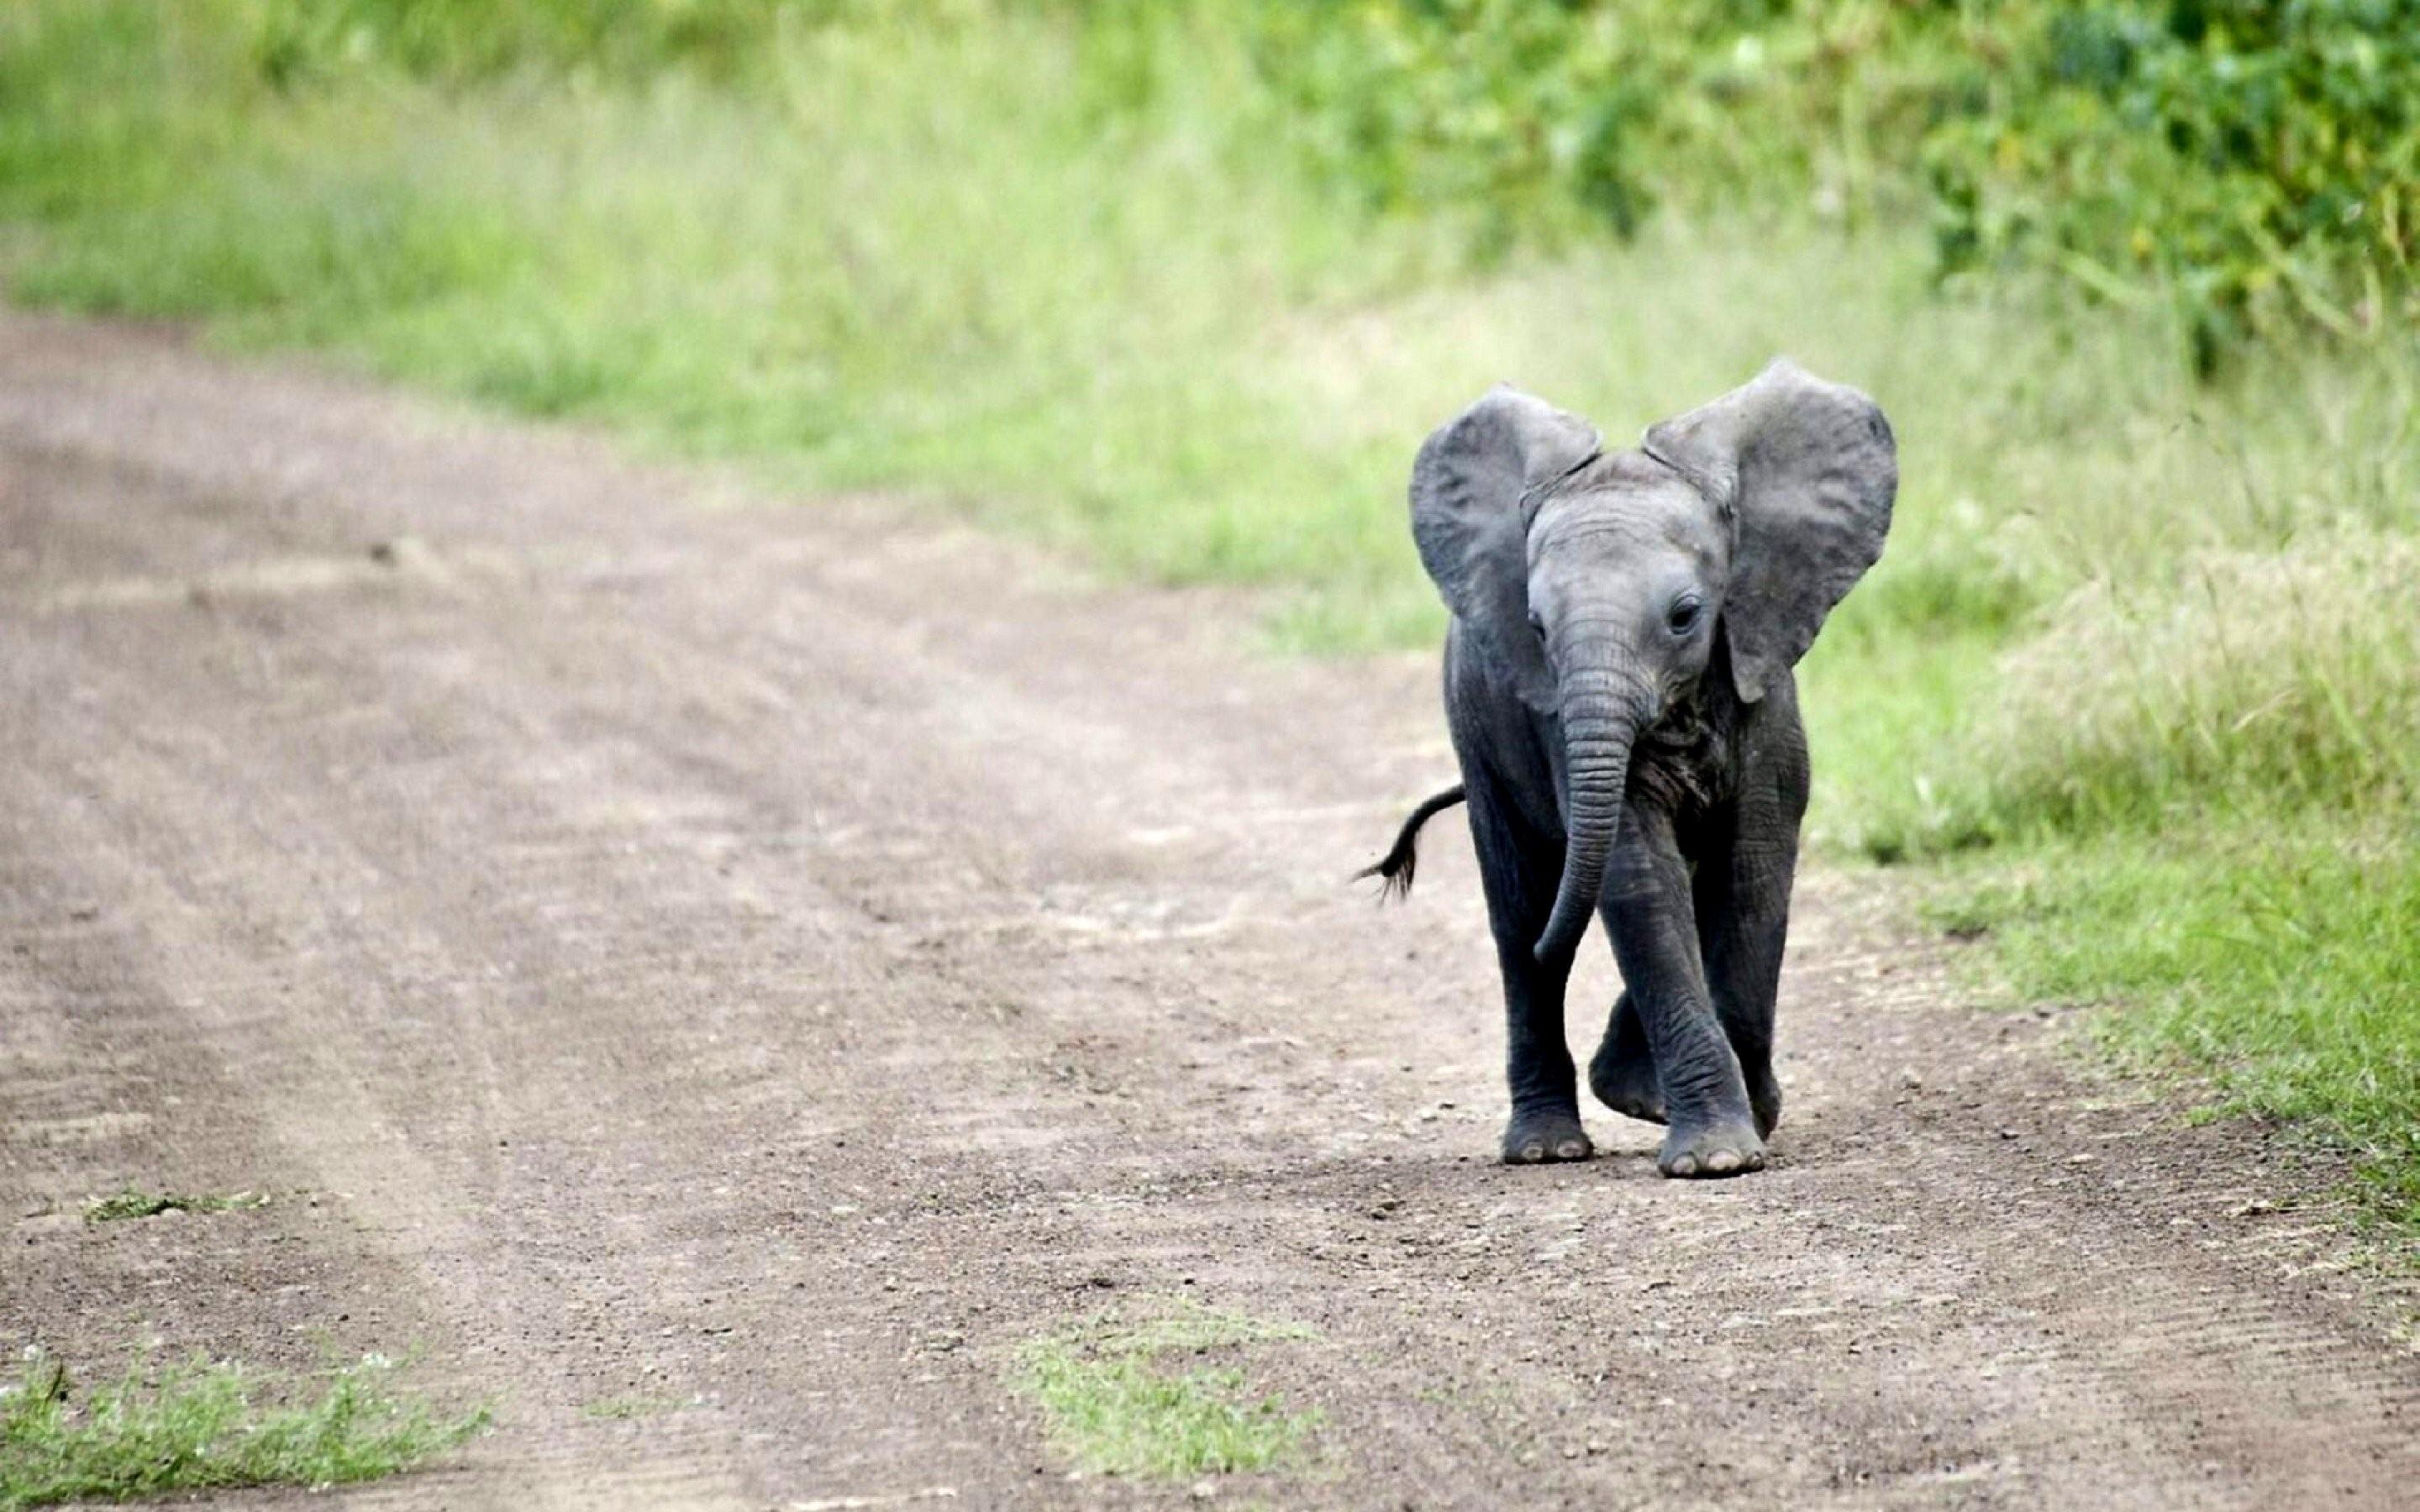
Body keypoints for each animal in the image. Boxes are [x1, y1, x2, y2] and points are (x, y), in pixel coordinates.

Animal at [1362, 359, 1896, 1178]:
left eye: (1685, 616)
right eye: (1537, 626)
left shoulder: (1761, 681)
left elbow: (1753, 872)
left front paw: (1742, 1131)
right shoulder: (1556, 723)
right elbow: (1638, 875)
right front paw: (1717, 1159)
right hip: (1478, 739)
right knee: (1521, 918)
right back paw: (1548, 1148)